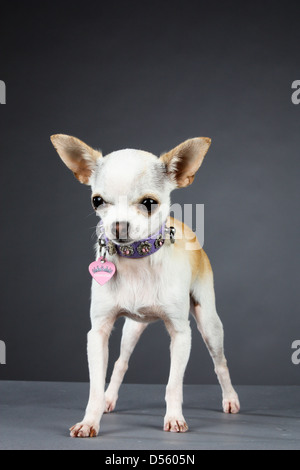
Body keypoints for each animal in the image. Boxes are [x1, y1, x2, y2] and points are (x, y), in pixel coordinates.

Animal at [50, 135, 240, 436]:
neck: (137, 259)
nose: (118, 226)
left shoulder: (181, 334)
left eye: (149, 202)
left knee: (220, 362)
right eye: (97, 201)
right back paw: (109, 398)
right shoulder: (98, 333)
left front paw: (174, 418)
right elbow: (95, 386)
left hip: (209, 324)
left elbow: (174, 384)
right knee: (121, 362)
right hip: (132, 328)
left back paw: (230, 398)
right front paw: (90, 420)